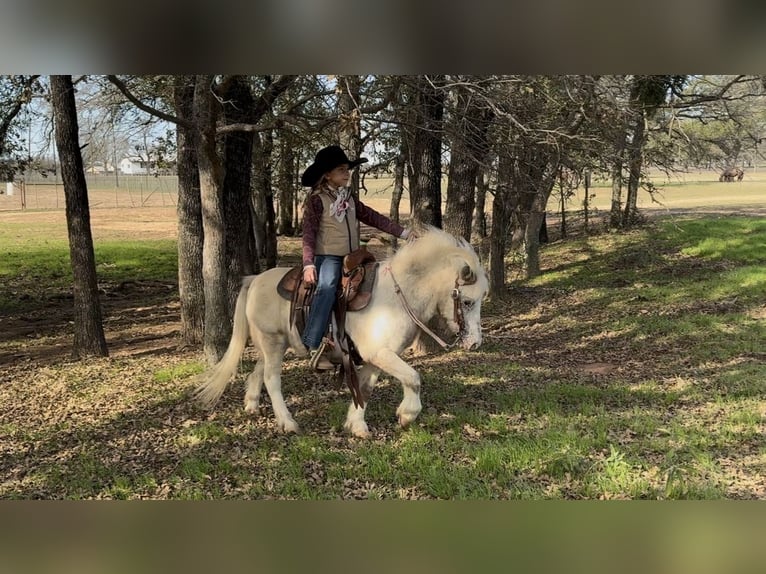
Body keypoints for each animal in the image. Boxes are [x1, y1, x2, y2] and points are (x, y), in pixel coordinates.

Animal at [194, 226, 489, 438]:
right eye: (467, 301)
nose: (475, 343)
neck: (398, 295)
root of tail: (255, 280)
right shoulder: (380, 353)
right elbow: (413, 378)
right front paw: (407, 415)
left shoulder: (377, 357)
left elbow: (366, 388)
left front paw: (356, 425)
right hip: (272, 343)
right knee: (271, 379)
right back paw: (287, 423)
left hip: (273, 344)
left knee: (257, 372)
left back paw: (252, 406)